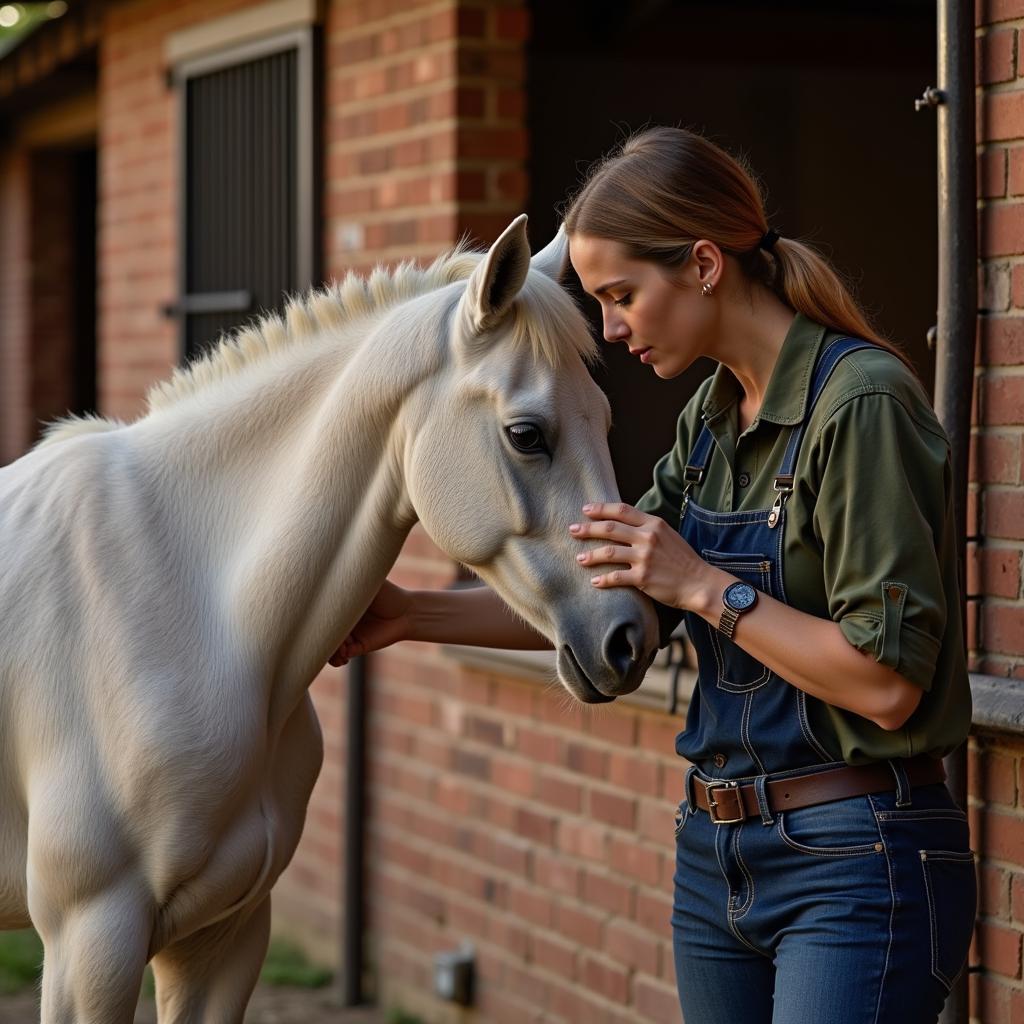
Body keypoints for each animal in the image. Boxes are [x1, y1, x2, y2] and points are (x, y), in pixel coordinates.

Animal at [0, 211, 655, 1019]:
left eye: (603, 416)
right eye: (527, 434)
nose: (630, 639)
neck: (197, 613)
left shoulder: (227, 937)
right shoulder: (89, 945)